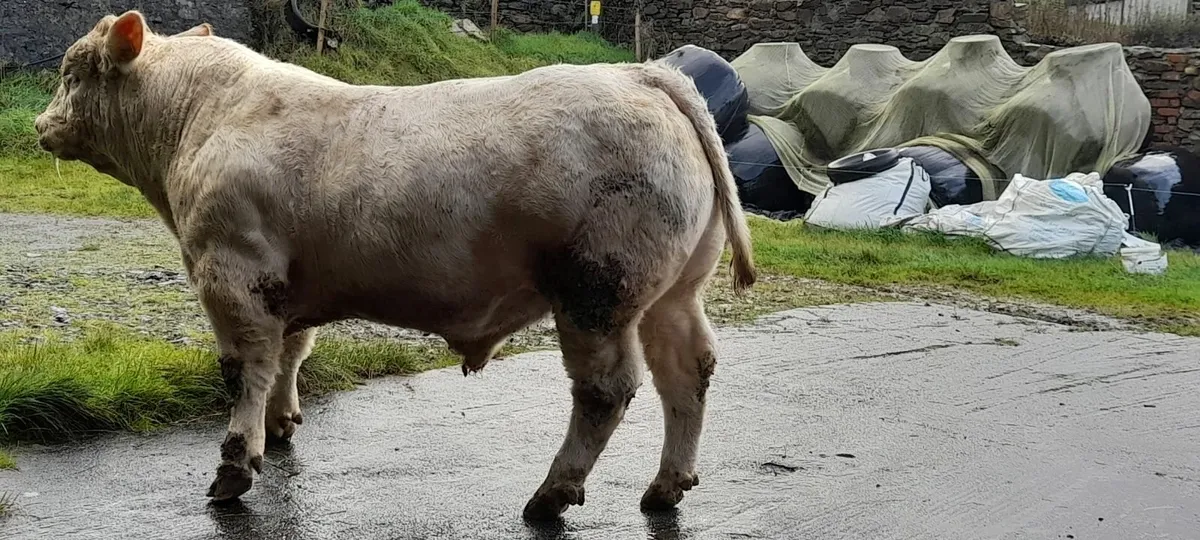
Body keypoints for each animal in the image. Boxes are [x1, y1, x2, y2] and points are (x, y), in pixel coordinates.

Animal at [34, 11, 756, 520]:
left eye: (73, 74)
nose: (40, 126)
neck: (199, 118)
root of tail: (642, 74)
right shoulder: (290, 282)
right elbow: (291, 353)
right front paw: (282, 424)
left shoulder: (232, 272)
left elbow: (246, 369)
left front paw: (236, 465)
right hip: (675, 291)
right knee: (687, 371)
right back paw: (666, 486)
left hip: (596, 290)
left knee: (606, 390)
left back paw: (552, 493)